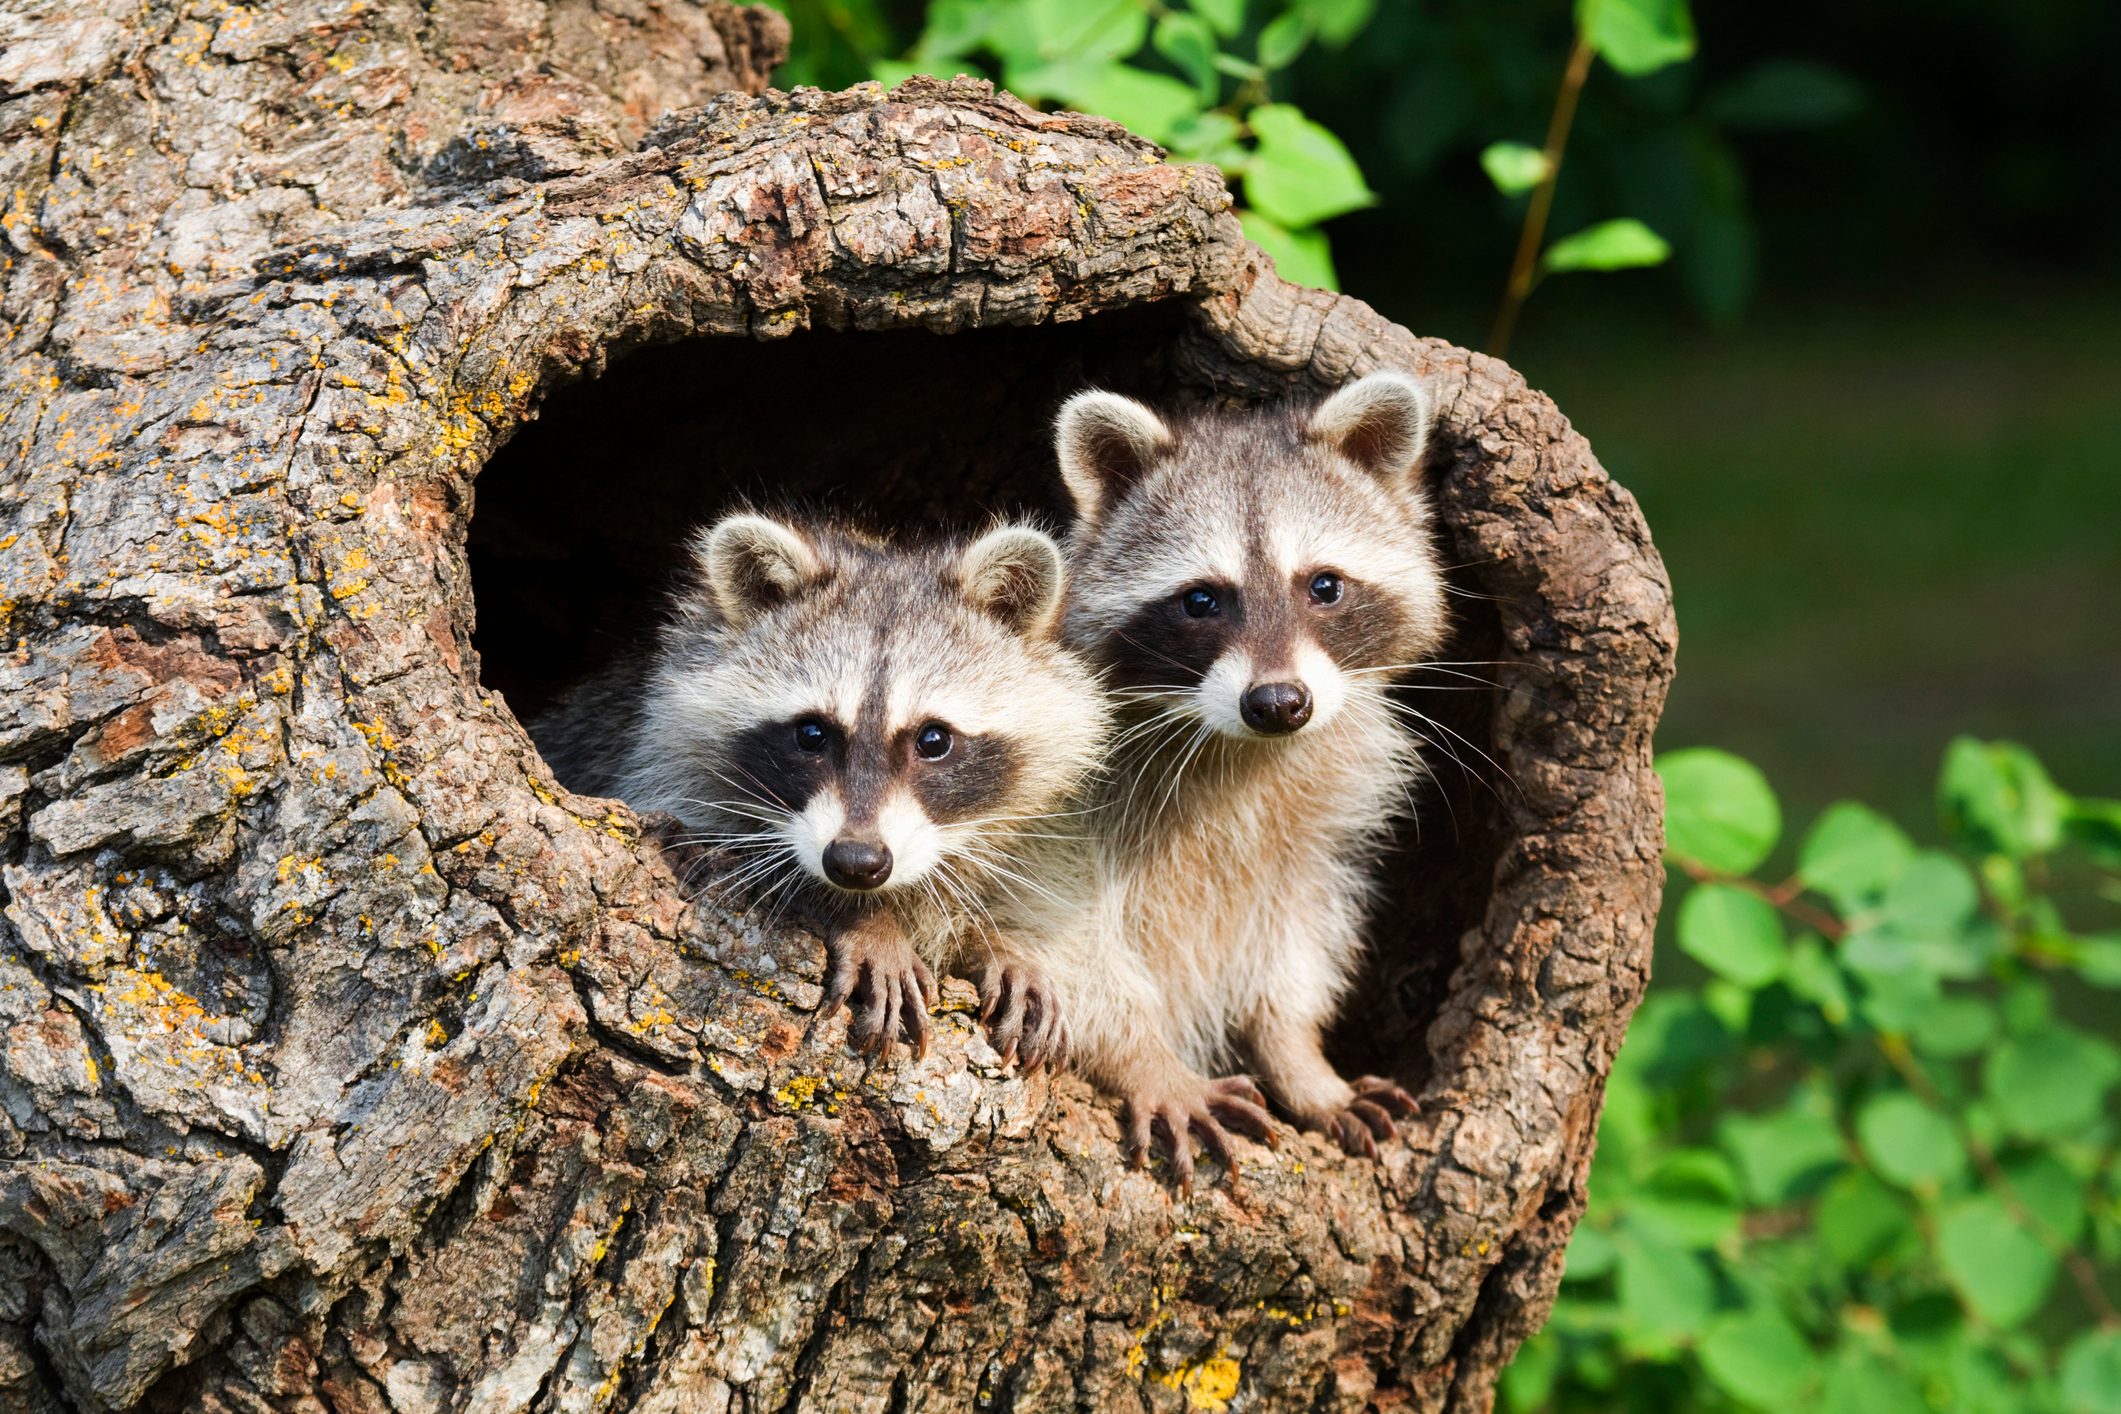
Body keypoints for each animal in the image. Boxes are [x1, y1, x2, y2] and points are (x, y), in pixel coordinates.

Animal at [533, 511, 1110, 1066]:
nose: (855, 862)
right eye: (811, 734)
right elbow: (724, 855)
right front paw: (866, 920)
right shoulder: (661, 772)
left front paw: (997, 943)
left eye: (934, 739)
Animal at [1047, 371, 1448, 1171]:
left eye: (1323, 586)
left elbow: (1290, 944)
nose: (1278, 704)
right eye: (1201, 599)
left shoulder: (1313, 822)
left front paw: (1301, 1060)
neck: (1241, 751)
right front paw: (1145, 1058)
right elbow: (1060, 948)